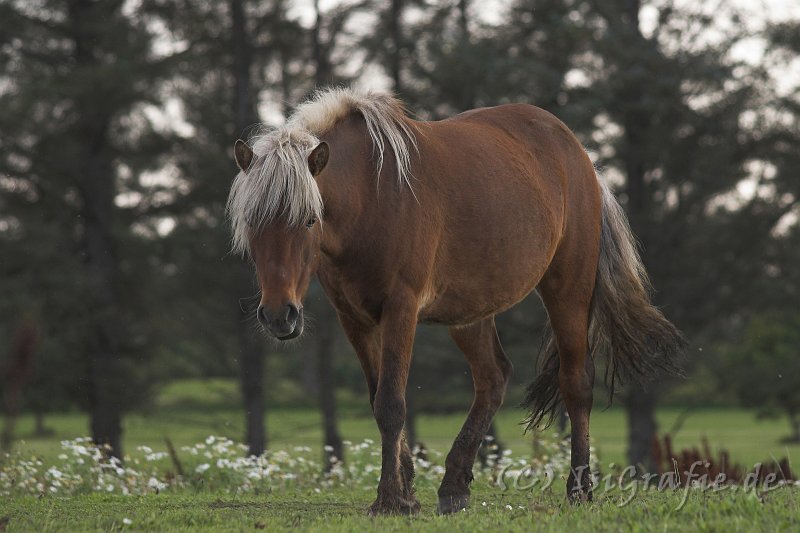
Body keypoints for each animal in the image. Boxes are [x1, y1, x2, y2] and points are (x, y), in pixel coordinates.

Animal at [225, 88, 680, 516]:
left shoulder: (401, 309)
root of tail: (582, 158)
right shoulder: (354, 319)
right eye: (252, 223)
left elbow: (391, 403)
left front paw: (390, 499)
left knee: (577, 382)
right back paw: (454, 486)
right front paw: (407, 491)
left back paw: (579, 489)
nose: (279, 316)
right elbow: (378, 399)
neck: (372, 197)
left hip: (567, 289)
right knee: (493, 378)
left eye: (308, 220)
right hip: (470, 313)